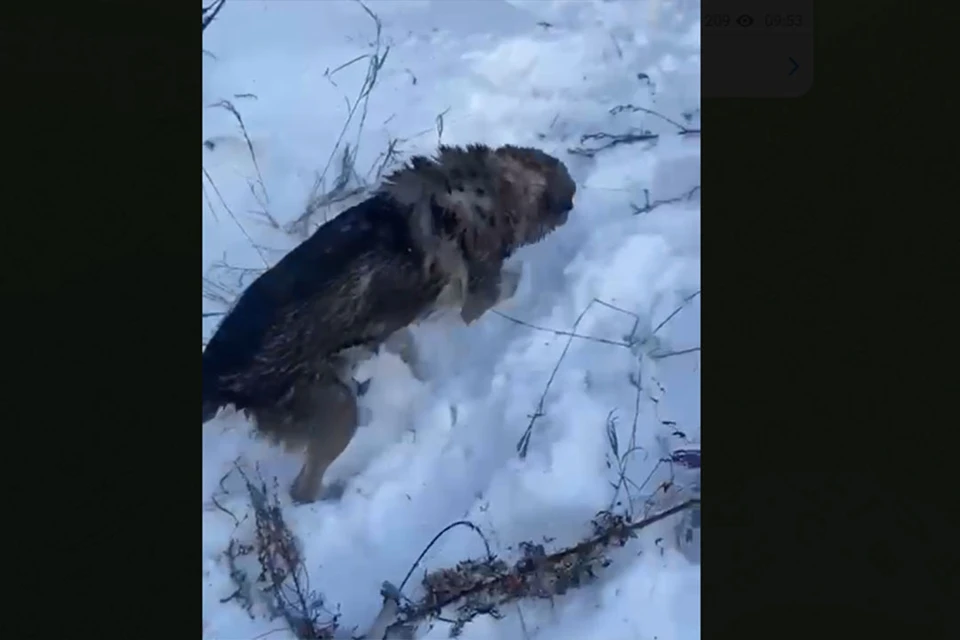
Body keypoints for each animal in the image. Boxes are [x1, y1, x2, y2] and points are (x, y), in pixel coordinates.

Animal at [202, 144, 576, 504]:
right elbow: (510, 283)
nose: (572, 195)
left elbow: (410, 351)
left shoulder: (395, 325)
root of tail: (216, 373)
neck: (488, 188)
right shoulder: (476, 298)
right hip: (339, 412)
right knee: (301, 490)